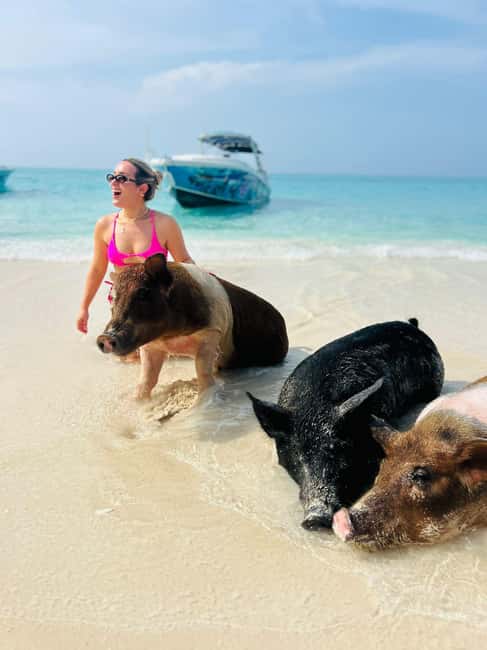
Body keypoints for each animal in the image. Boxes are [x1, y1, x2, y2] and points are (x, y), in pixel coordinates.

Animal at [97, 254, 288, 400]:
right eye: (113, 297)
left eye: (143, 292)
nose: (104, 337)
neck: (171, 336)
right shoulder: (151, 345)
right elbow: (146, 380)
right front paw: (138, 401)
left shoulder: (212, 331)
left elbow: (203, 371)